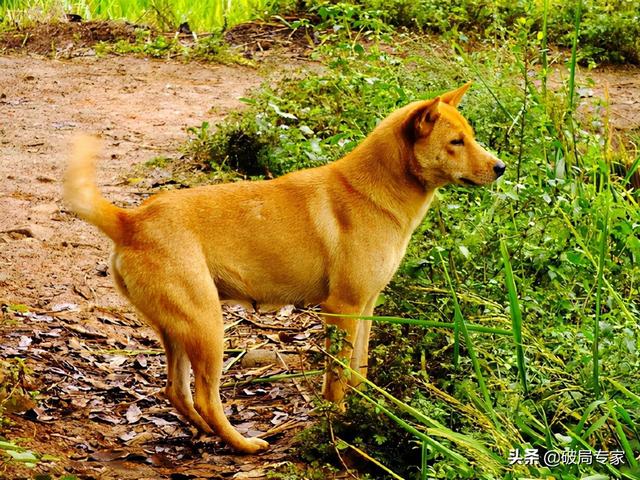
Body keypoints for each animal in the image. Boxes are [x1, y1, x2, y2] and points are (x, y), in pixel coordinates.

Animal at [65, 83, 504, 454]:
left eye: (471, 136)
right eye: (456, 142)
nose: (500, 167)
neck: (374, 191)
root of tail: (131, 219)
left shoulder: (366, 306)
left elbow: (358, 370)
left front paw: (366, 410)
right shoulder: (341, 308)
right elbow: (336, 379)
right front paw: (336, 427)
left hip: (178, 329)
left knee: (177, 392)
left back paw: (208, 433)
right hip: (208, 326)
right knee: (206, 397)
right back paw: (241, 444)